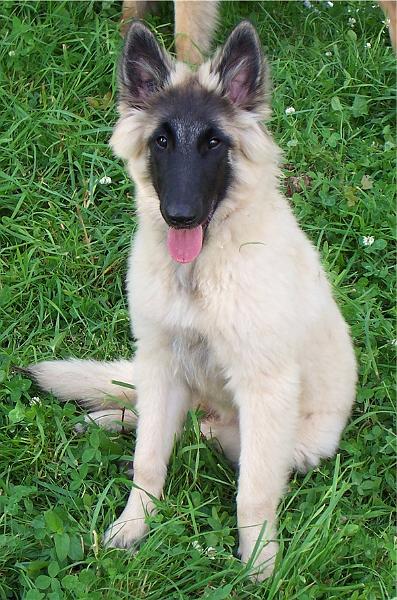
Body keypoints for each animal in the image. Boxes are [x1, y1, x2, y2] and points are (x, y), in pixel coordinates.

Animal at [26, 21, 358, 580]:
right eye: (161, 140)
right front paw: (132, 526)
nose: (179, 216)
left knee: (207, 438)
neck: (199, 273)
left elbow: (254, 492)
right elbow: (148, 459)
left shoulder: (263, 388)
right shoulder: (160, 360)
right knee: (156, 417)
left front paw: (259, 561)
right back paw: (107, 418)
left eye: (213, 143)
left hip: (288, 440)